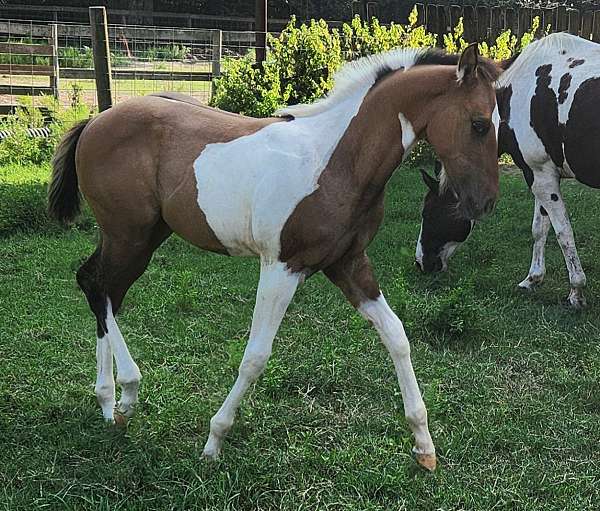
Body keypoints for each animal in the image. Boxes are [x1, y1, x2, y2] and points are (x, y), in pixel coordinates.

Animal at [47, 45, 500, 472]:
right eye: (479, 124)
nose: (485, 203)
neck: (338, 162)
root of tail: (96, 121)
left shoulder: (349, 263)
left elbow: (397, 336)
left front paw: (424, 446)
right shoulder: (282, 266)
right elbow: (256, 356)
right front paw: (214, 441)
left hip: (142, 236)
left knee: (100, 288)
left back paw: (112, 403)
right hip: (129, 236)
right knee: (100, 288)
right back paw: (125, 390)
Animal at [418, 34, 600, 310]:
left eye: (428, 212)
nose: (421, 263)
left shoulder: (540, 178)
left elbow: (563, 232)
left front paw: (576, 292)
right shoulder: (540, 174)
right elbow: (539, 229)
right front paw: (532, 279)